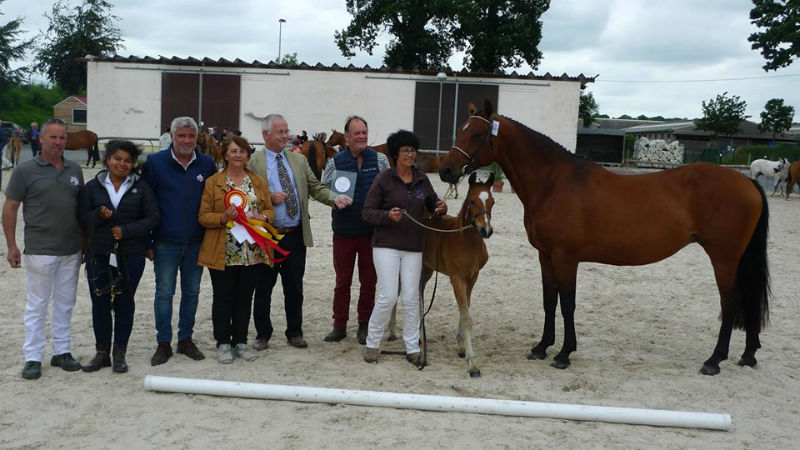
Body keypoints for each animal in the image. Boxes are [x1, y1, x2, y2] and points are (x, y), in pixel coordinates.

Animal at [438, 101, 768, 376]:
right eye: (460, 130)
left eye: (477, 134)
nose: (445, 170)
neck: (554, 182)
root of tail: (747, 182)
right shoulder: (546, 255)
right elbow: (549, 300)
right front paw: (542, 347)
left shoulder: (566, 257)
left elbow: (567, 303)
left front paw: (564, 354)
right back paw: (748, 354)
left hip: (723, 258)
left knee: (731, 301)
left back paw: (714, 360)